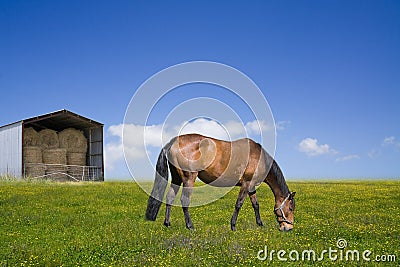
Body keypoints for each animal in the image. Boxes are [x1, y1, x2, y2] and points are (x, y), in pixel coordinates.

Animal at [145, 134, 296, 232]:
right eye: (290, 208)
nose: (288, 228)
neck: (259, 158)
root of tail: (173, 142)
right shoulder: (246, 184)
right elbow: (239, 204)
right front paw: (233, 226)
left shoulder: (251, 186)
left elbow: (256, 205)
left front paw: (260, 224)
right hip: (189, 178)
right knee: (184, 200)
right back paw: (190, 226)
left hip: (177, 178)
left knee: (170, 197)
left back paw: (167, 223)